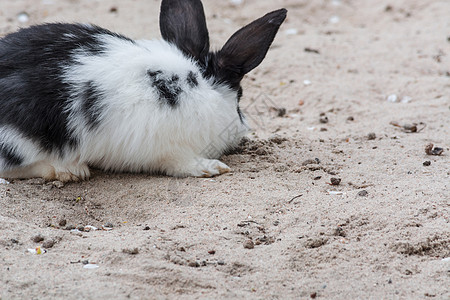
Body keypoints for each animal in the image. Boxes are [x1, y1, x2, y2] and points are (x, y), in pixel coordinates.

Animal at [0, 0, 286, 182]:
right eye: (239, 99)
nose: (242, 131)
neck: (201, 86)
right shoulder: (172, 150)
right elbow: (183, 164)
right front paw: (212, 168)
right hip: (20, 141)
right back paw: (69, 171)